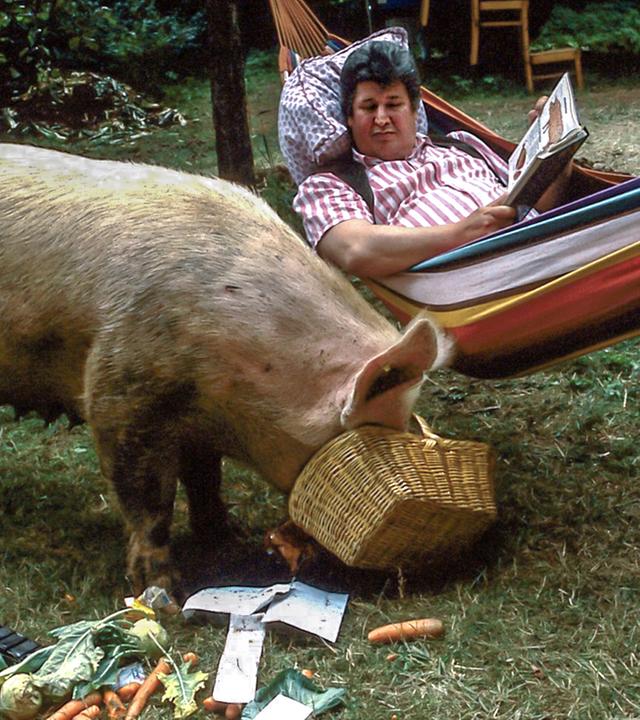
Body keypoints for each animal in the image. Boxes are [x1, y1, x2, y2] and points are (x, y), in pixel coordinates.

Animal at [0, 143, 453, 591]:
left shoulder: (197, 419)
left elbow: (204, 477)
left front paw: (225, 538)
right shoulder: (119, 392)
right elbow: (148, 497)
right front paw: (164, 590)